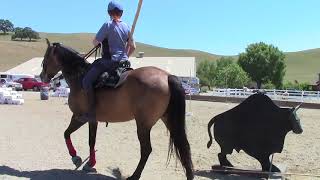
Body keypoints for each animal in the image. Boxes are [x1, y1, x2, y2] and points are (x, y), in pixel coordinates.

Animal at [39, 40, 195, 180]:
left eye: (46, 58)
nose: (42, 76)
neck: (79, 78)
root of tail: (167, 76)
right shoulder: (92, 120)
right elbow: (88, 140)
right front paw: (89, 163)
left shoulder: (79, 117)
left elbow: (69, 134)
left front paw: (76, 157)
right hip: (168, 120)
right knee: (184, 146)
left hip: (143, 125)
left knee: (146, 150)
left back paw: (134, 176)